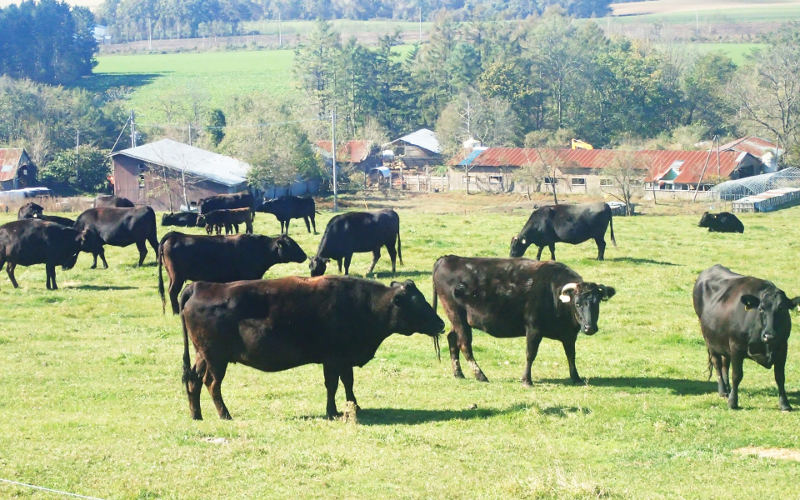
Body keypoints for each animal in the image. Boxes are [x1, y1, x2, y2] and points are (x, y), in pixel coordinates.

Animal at [158, 230, 308, 312]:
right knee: (172, 292)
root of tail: (175, 235)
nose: (305, 255)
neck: (259, 248)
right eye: (291, 245)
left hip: (172, 275)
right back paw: (176, 312)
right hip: (177, 275)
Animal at [178, 276, 446, 420]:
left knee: (193, 381)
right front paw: (332, 411)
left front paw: (354, 407)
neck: (365, 304)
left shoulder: (344, 360)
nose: (441, 323)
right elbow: (333, 385)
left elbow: (348, 383)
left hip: (202, 356)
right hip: (216, 359)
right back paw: (225, 414)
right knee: (212, 384)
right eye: (417, 303)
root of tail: (200, 286)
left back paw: (196, 414)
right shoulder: (333, 359)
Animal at [434, 256, 616, 384]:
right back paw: (480, 375)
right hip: (457, 316)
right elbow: (530, 354)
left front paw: (576, 377)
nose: (589, 327)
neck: (553, 293)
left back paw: (458, 373)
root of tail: (448, 258)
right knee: (465, 345)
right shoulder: (533, 329)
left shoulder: (570, 334)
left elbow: (571, 355)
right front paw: (526, 380)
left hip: (457, 320)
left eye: (597, 303)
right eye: (577, 303)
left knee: (452, 339)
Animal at [692, 266, 796, 410]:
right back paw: (723, 391)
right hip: (710, 341)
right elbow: (737, 375)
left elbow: (780, 377)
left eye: (781, 308)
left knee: (725, 363)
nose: (769, 335)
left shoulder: (782, 347)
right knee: (717, 363)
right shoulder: (736, 347)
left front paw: (785, 404)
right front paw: (733, 402)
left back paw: (727, 388)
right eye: (761, 309)